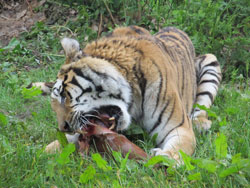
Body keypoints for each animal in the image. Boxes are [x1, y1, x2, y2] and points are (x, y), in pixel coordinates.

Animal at [32, 26, 222, 162]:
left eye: (64, 95)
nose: (63, 127)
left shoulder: (180, 128)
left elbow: (178, 149)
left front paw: (166, 158)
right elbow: (65, 141)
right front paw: (42, 153)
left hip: (211, 61)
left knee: (202, 105)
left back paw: (201, 123)